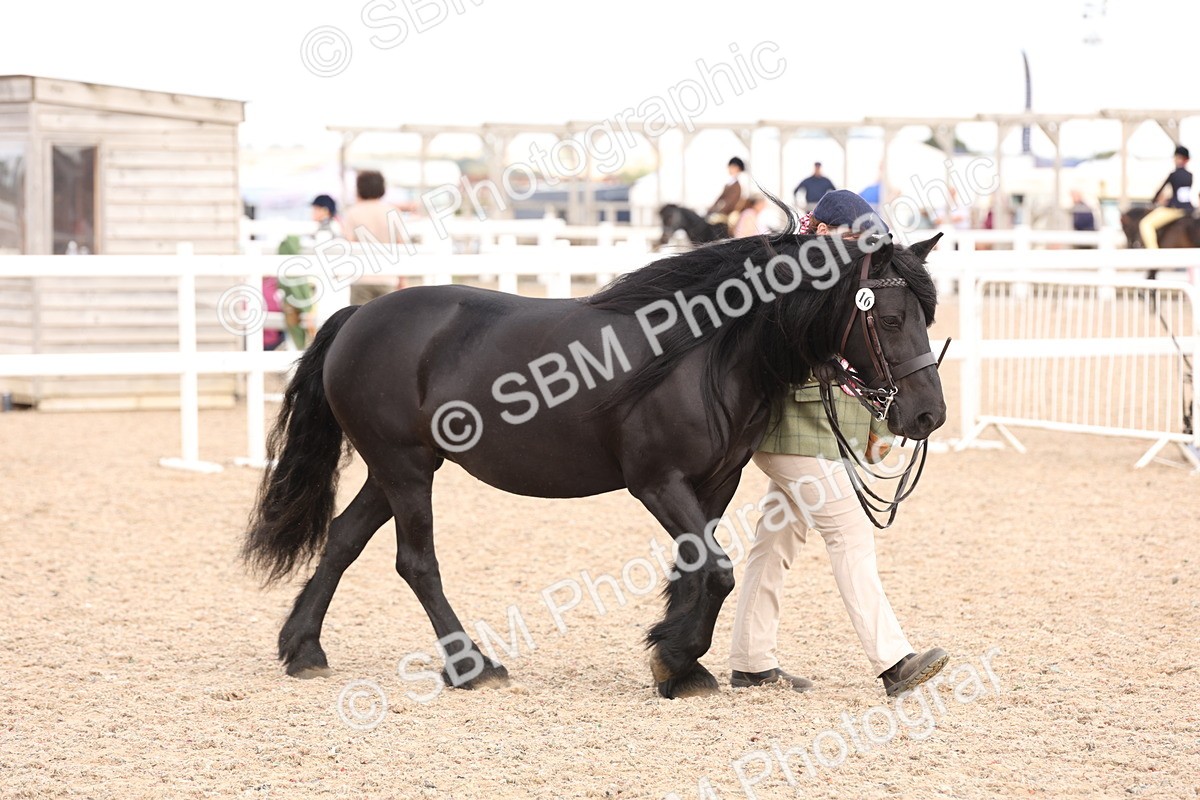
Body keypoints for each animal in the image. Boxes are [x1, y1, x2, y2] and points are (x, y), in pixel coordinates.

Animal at [242, 203, 947, 699]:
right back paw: (470, 665)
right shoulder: (657, 481)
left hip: (396, 469)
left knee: (343, 539)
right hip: (406, 467)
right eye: (889, 318)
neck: (703, 351)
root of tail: (356, 319)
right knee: (415, 562)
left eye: (927, 314)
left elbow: (696, 567)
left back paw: (303, 649)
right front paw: (675, 658)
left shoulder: (715, 483)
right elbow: (717, 570)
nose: (927, 414)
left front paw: (680, 663)